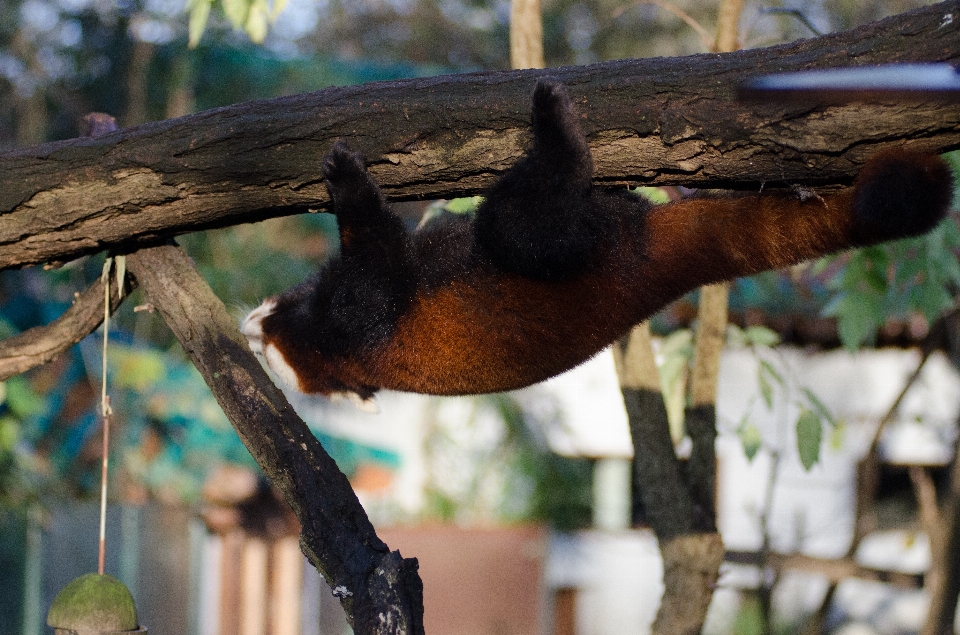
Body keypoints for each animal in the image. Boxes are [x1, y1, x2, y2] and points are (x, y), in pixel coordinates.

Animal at [242, 78, 952, 412]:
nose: (250, 322)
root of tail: (656, 271)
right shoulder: (363, 324)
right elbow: (376, 261)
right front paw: (347, 181)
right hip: (570, 251)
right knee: (524, 224)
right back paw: (562, 135)